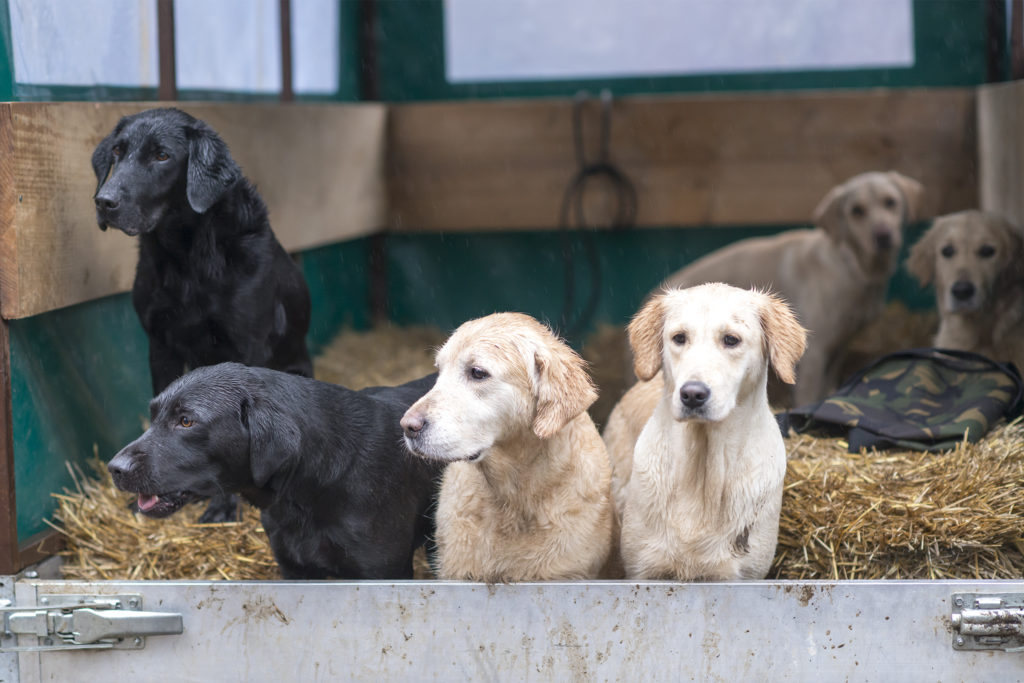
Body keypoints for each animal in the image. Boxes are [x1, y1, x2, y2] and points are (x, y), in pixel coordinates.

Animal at [655, 171, 929, 405]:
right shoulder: (814, 353)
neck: (850, 265)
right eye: (856, 211)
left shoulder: (837, 347)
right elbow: (808, 395)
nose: (882, 236)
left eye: (890, 202)